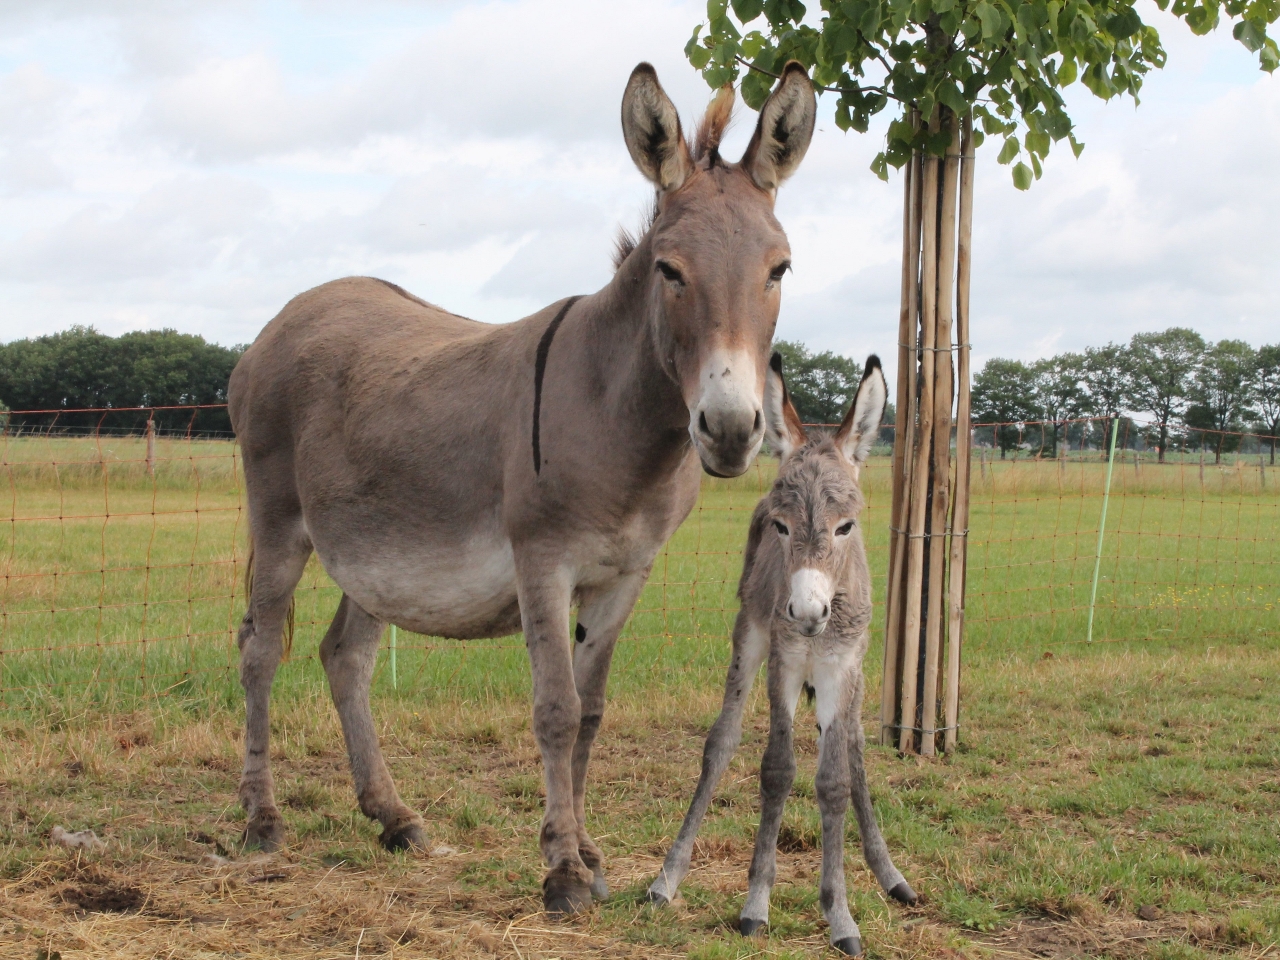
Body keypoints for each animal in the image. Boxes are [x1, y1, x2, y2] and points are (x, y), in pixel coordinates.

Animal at [650, 355, 921, 960]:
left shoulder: (841, 667)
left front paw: (840, 913)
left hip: (855, 674)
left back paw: (891, 874)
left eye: (846, 526)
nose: (806, 611)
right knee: (721, 743)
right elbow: (776, 770)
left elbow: (836, 779)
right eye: (781, 525)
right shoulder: (785, 660)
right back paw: (667, 878)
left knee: (855, 748)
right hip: (749, 636)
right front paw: (756, 904)